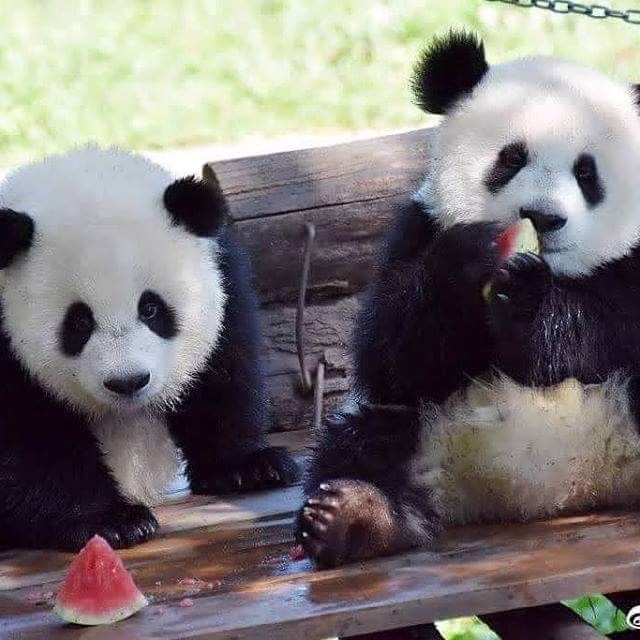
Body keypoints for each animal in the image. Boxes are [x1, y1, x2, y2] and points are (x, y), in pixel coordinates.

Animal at [0, 144, 298, 551]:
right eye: (78, 322)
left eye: (151, 308)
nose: (127, 382)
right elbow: (29, 439)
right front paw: (112, 521)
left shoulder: (222, 278)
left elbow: (224, 370)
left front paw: (248, 467)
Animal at [296, 30, 640, 569]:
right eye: (511, 158)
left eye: (587, 174)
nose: (544, 217)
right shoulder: (420, 226)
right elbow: (388, 354)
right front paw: (469, 260)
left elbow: (615, 324)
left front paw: (530, 302)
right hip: (425, 424)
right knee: (362, 439)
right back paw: (355, 516)